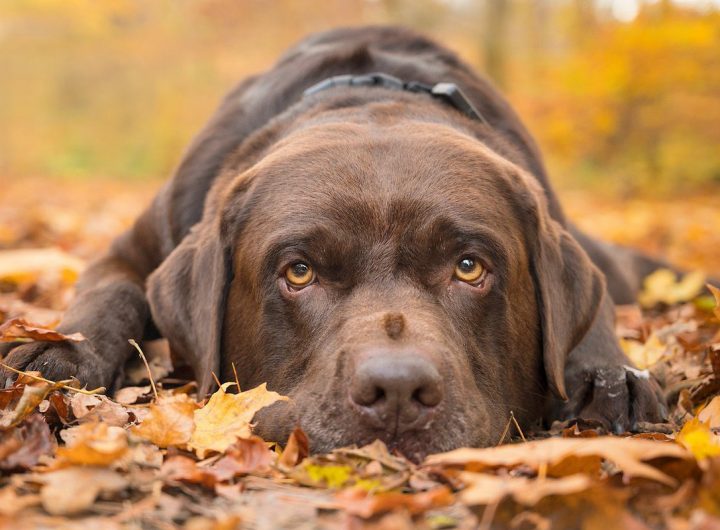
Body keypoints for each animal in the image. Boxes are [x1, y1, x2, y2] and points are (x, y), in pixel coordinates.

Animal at [0, 25, 668, 458]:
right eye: (298, 272)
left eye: (469, 266)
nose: (397, 390)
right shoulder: (137, 246)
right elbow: (109, 295)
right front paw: (54, 356)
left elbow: (597, 316)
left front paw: (610, 376)